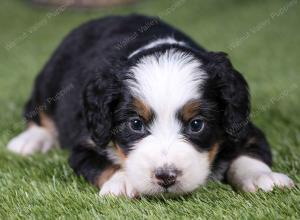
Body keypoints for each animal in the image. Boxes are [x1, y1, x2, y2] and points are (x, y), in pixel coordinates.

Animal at [8, 15, 294, 198]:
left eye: (196, 124)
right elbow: (102, 164)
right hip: (49, 78)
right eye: (136, 124)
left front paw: (263, 178)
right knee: (38, 112)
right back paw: (30, 141)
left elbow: (248, 156)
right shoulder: (87, 142)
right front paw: (123, 181)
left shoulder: (243, 128)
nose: (166, 176)